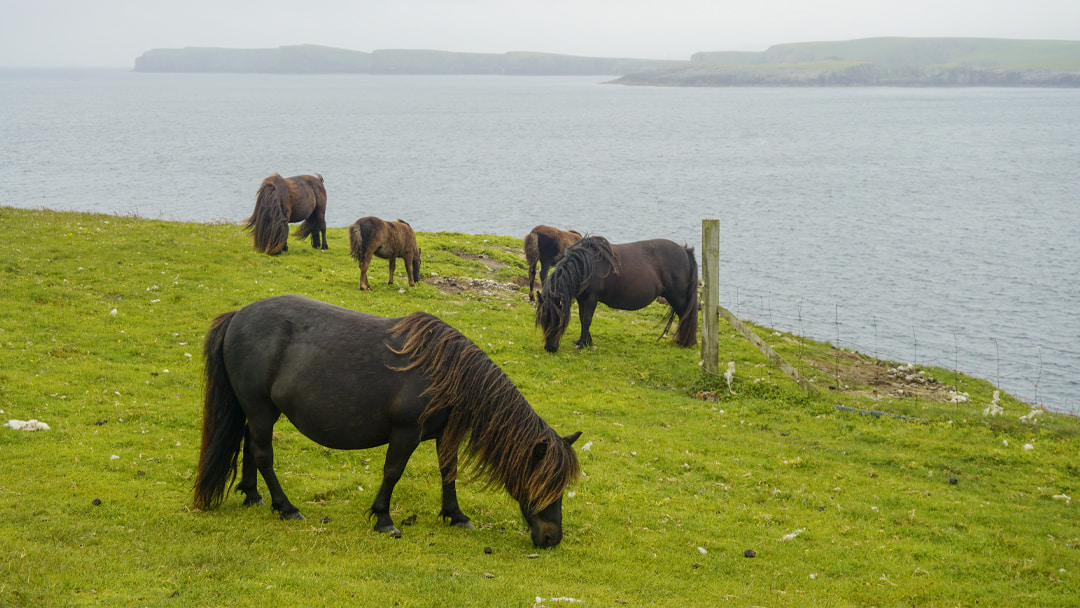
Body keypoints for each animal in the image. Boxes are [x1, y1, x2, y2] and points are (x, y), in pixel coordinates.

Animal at [193, 295, 581, 548]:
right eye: (546, 484)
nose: (552, 538)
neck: (444, 371)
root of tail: (237, 316)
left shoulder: (445, 434)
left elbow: (449, 472)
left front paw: (456, 516)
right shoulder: (406, 433)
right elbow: (393, 472)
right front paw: (384, 520)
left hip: (258, 411)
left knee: (248, 444)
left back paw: (253, 496)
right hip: (260, 409)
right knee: (263, 455)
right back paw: (286, 508)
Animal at [536, 236, 699, 353]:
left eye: (557, 320)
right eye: (543, 320)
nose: (549, 348)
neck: (586, 265)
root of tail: (684, 251)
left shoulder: (591, 298)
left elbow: (587, 319)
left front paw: (583, 344)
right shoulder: (582, 299)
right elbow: (582, 318)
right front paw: (586, 341)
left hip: (678, 297)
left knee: (687, 316)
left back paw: (687, 342)